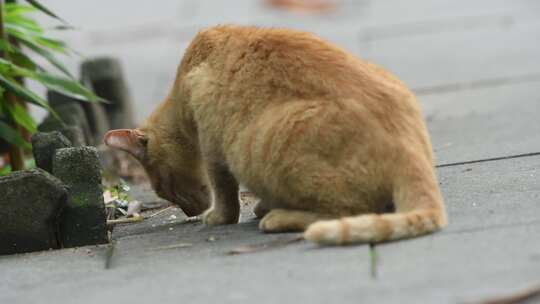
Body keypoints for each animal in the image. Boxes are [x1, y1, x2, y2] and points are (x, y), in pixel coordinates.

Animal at [104, 25, 448, 246]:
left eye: (163, 188)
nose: (189, 213)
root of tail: (410, 151)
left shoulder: (215, 148)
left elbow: (225, 193)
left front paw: (222, 216)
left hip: (272, 144)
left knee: (347, 212)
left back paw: (277, 218)